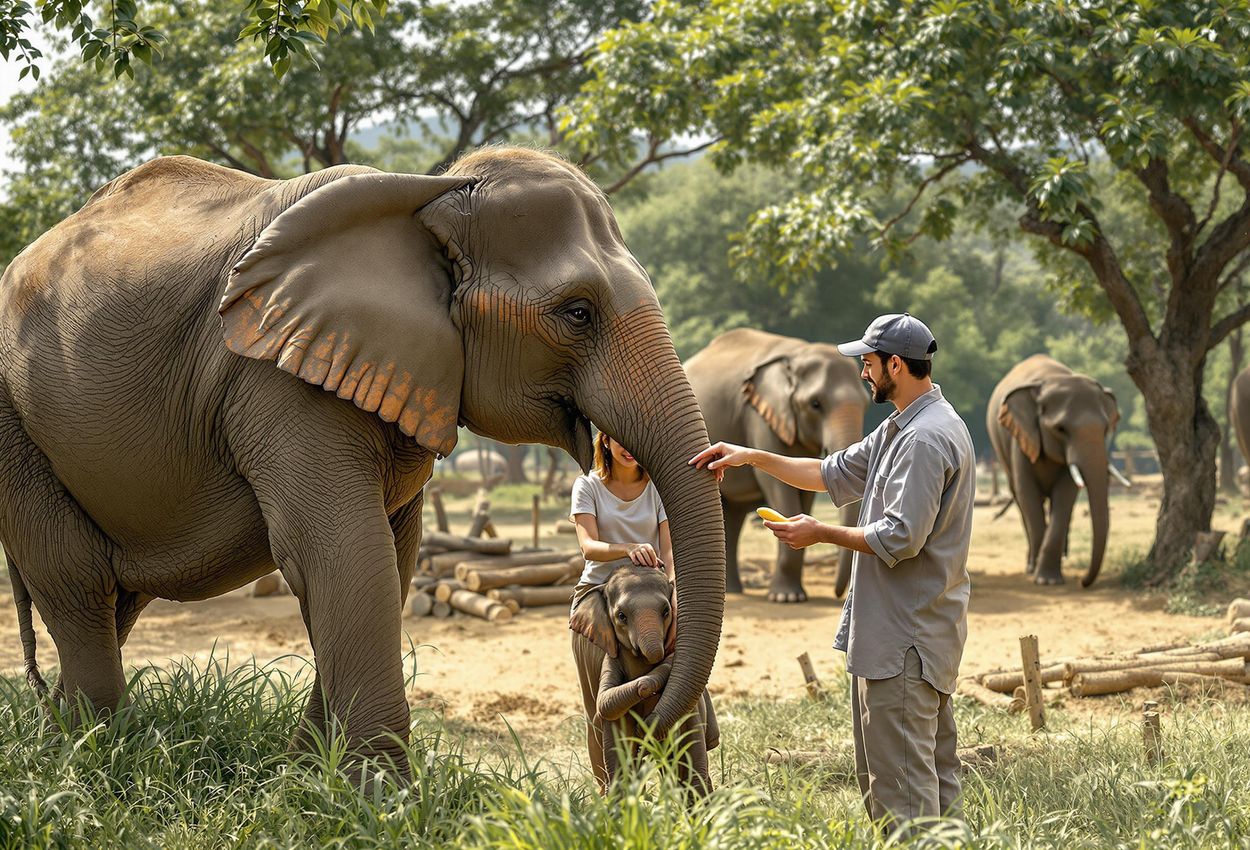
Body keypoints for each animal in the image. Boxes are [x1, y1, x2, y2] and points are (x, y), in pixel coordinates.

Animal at [570, 560, 716, 795]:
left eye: (666, 611)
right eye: (621, 616)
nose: (642, 731)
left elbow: (690, 750)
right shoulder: (611, 664)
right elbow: (607, 705)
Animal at [685, 329, 867, 602]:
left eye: (866, 404)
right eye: (815, 404)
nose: (838, 594)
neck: (798, 354)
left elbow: (806, 484)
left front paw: (790, 596)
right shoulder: (759, 416)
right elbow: (779, 488)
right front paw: (786, 598)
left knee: (733, 513)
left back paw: (733, 590)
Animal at [987, 354, 1125, 586]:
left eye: (1106, 428)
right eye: (1061, 429)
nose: (1084, 582)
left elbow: (1065, 496)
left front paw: (1050, 579)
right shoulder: (1021, 438)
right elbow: (1027, 494)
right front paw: (1042, 579)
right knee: (1021, 499)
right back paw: (1031, 565)